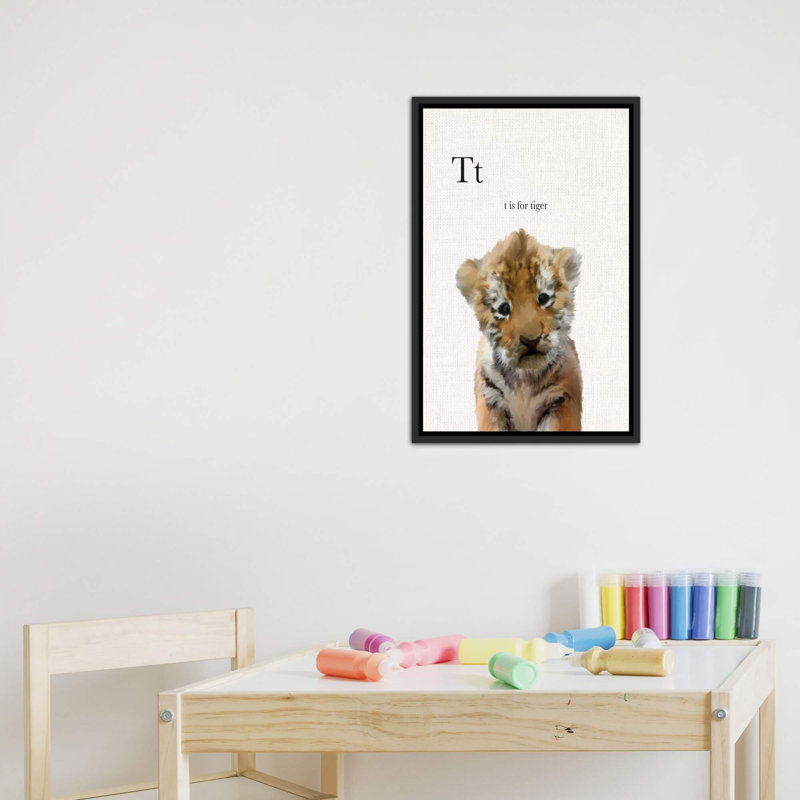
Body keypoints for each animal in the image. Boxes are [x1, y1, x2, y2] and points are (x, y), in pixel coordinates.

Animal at [455, 228, 583, 432]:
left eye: (543, 298)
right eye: (503, 308)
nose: (531, 340)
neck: (525, 381)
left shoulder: (562, 399)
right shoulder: (491, 400)